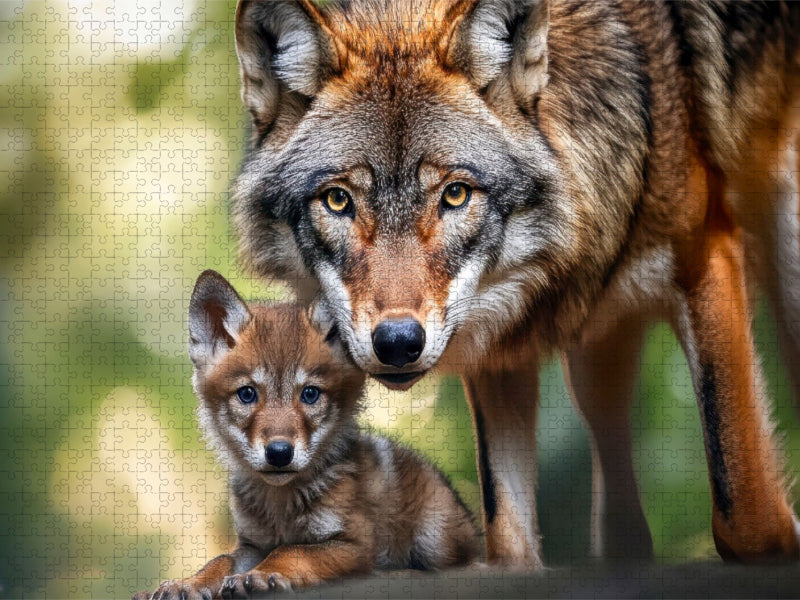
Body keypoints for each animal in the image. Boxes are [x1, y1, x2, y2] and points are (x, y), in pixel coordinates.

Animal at [133, 271, 478, 599]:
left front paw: (260, 576)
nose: (279, 453)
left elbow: (292, 550)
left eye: (310, 394)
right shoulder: (251, 544)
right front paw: (186, 583)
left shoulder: (353, 543)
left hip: (434, 533)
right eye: (247, 394)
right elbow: (219, 560)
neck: (281, 507)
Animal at [230, 0, 800, 567]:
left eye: (456, 194)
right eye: (337, 200)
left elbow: (748, 520)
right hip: (597, 354)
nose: (397, 343)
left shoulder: (704, 258)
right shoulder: (499, 354)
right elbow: (509, 540)